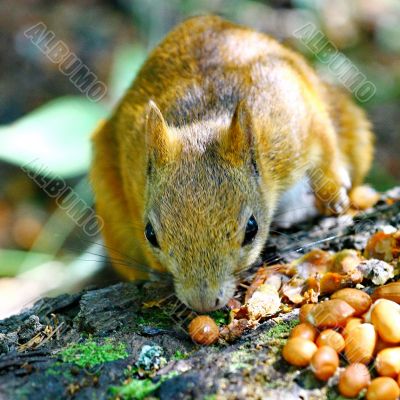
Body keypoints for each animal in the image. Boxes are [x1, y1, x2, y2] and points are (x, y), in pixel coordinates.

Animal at [90, 16, 376, 312]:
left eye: (252, 228)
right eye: (150, 234)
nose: (203, 303)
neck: (204, 119)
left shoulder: (296, 117)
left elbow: (325, 146)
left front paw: (334, 195)